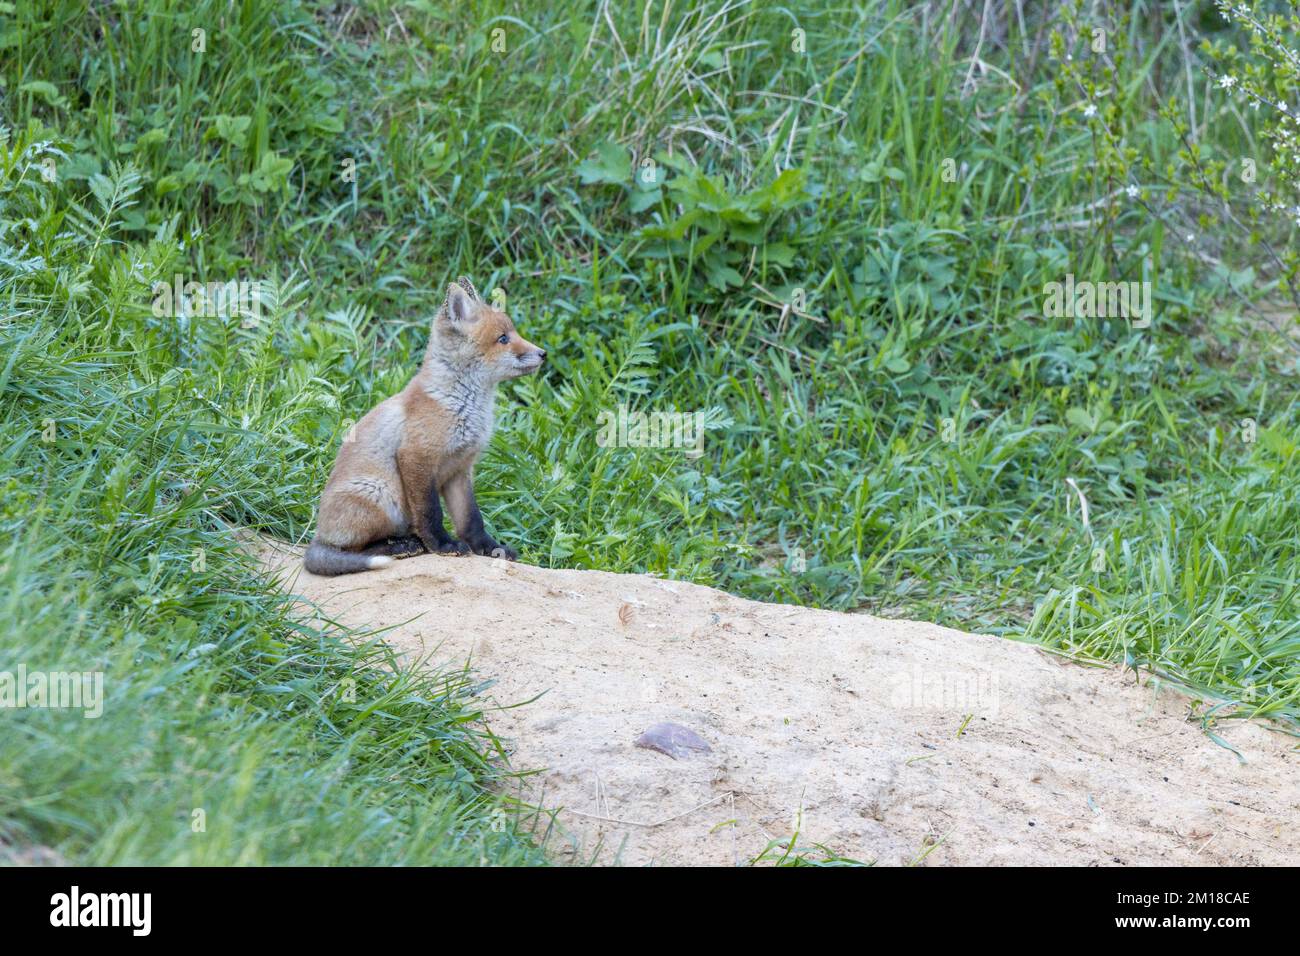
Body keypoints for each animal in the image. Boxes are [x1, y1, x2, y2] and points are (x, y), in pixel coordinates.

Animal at [302, 277, 543, 574]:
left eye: (513, 333)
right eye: (503, 338)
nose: (543, 354)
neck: (461, 405)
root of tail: (318, 536)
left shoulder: (460, 470)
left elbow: (472, 519)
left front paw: (490, 548)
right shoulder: (416, 457)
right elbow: (430, 512)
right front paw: (443, 545)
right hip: (381, 494)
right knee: (352, 549)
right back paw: (401, 545)